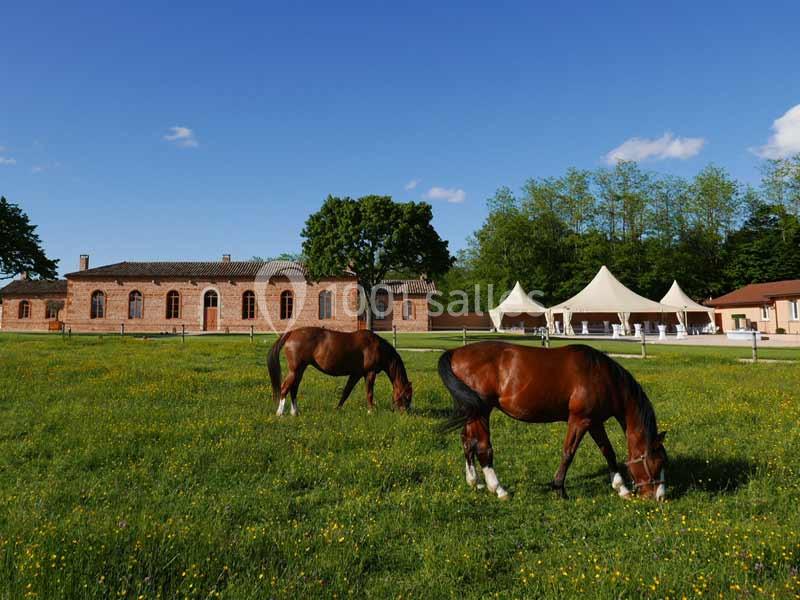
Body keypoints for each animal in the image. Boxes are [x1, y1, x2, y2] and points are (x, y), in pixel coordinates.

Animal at [267, 327, 413, 416]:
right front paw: (371, 411)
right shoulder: (370, 373)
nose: (405, 413)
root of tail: (291, 333)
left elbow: (346, 392)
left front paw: (337, 409)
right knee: (285, 388)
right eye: (407, 396)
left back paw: (295, 412)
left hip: (300, 370)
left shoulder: (356, 374)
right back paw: (280, 413)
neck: (376, 347)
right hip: (295, 370)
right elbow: (369, 393)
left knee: (294, 389)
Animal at [438, 342, 667, 501]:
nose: (660, 497)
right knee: (482, 448)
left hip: (472, 412)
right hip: (482, 412)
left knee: (467, 442)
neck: (603, 376)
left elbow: (608, 452)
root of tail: (456, 352)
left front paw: (621, 488)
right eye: (656, 463)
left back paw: (474, 482)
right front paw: (559, 488)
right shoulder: (580, 421)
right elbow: (568, 453)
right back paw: (499, 489)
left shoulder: (594, 422)